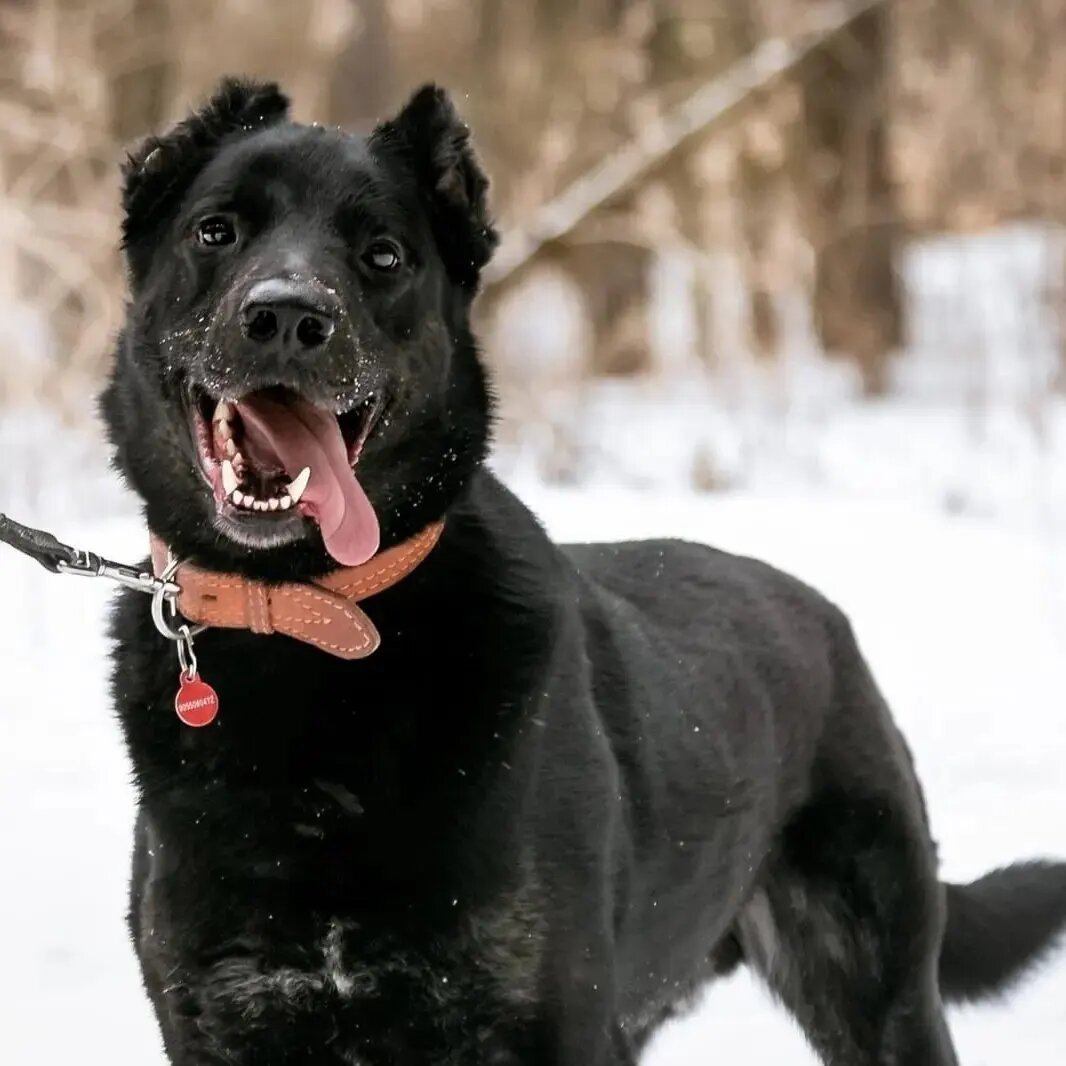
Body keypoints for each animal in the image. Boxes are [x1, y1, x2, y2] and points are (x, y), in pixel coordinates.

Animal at [101, 78, 1066, 1061]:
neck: (308, 619)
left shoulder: (553, 1024)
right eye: (216, 231)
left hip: (878, 995)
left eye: (382, 254)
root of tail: (825, 618)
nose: (289, 318)